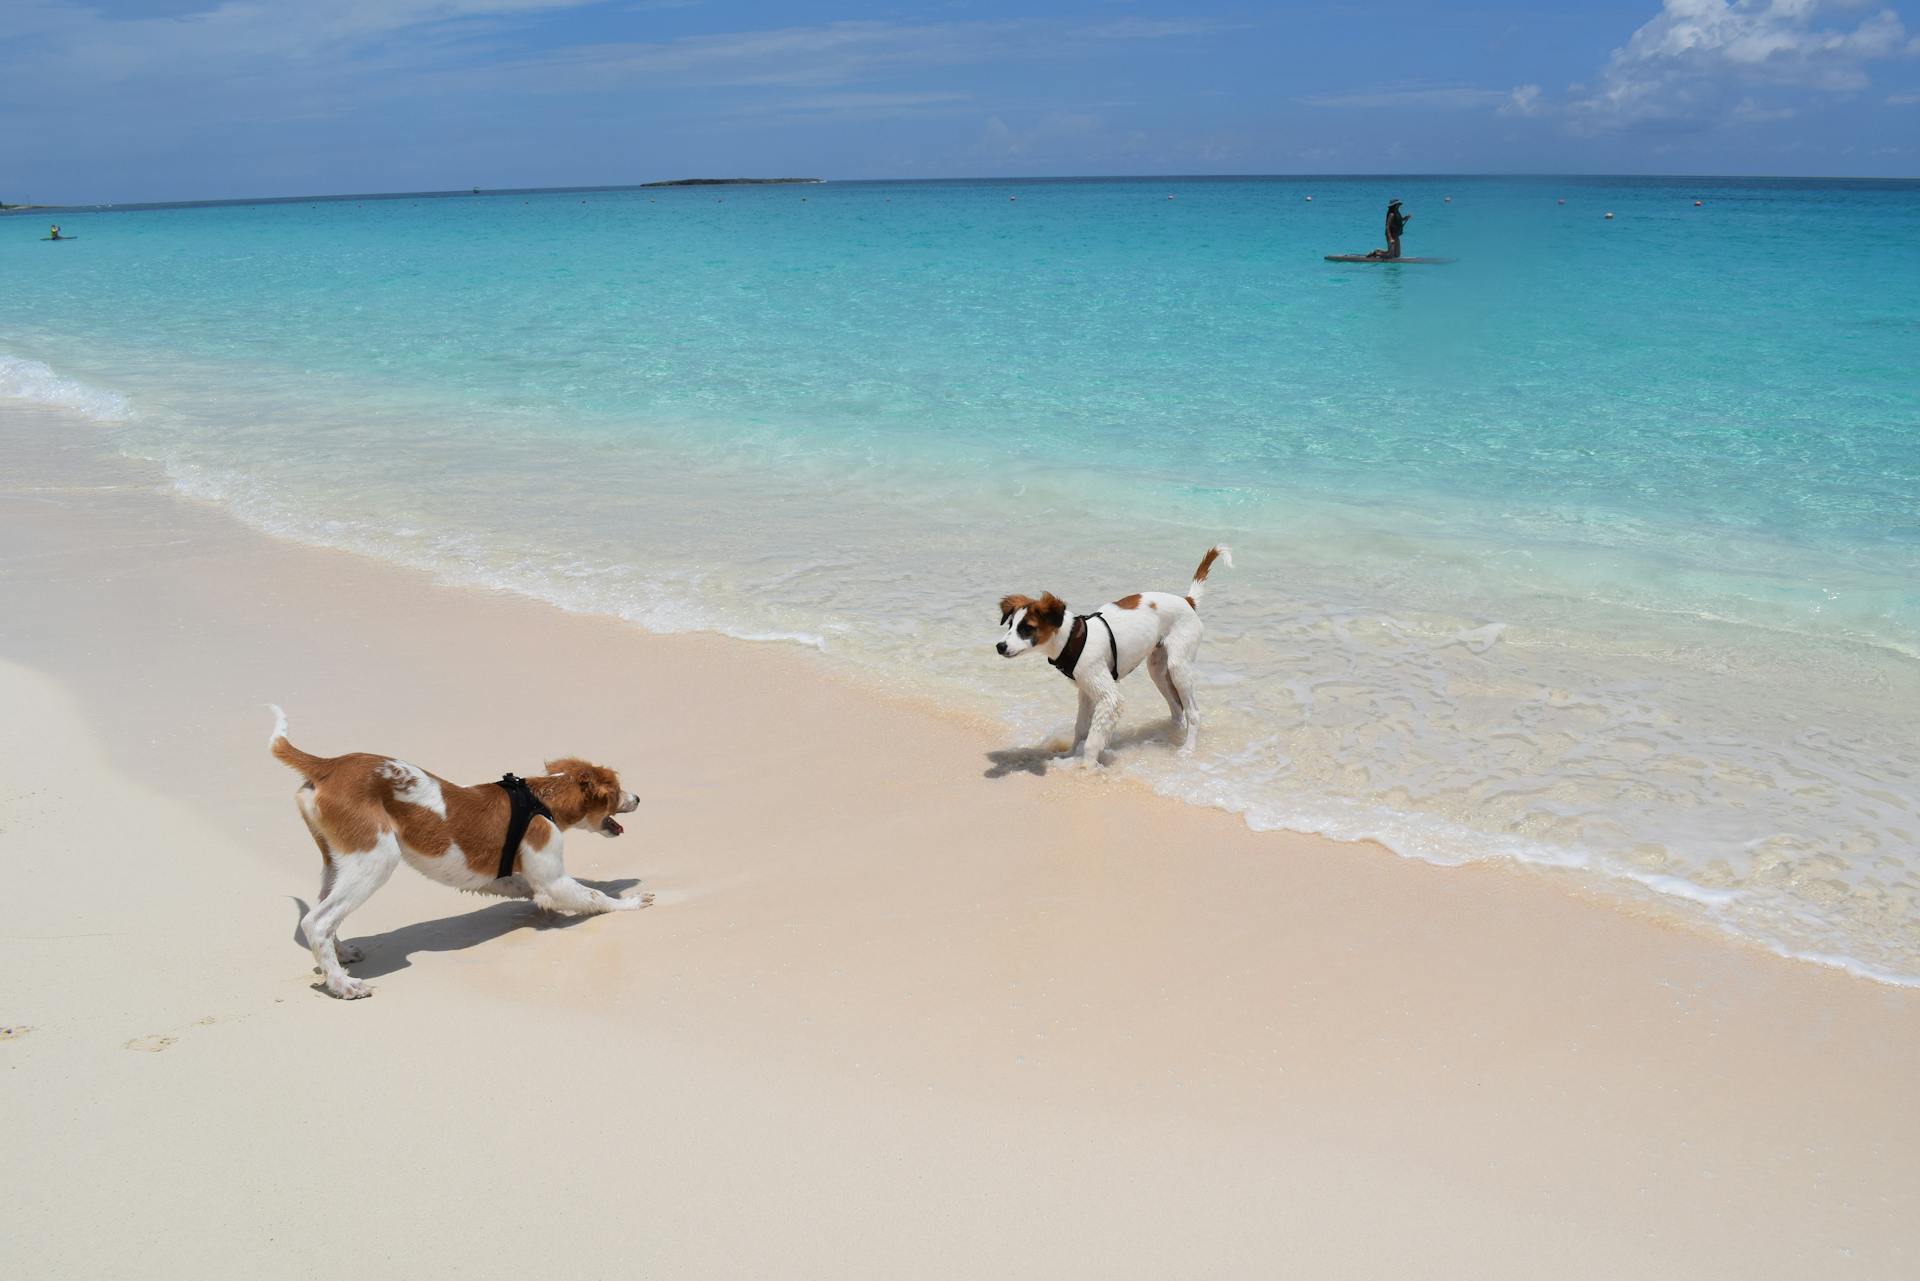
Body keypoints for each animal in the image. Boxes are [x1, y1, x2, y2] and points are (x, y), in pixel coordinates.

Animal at [264, 710, 652, 998]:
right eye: (617, 789)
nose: (637, 798)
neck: (542, 799)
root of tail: (327, 765)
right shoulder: (553, 872)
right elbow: (594, 896)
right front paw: (632, 902)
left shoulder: (502, 877)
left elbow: (528, 887)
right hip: (375, 858)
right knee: (316, 921)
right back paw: (342, 984)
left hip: (338, 861)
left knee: (323, 912)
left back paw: (341, 955)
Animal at [998, 545, 1236, 768]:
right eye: (1010, 625)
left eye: (1027, 628)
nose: (1000, 646)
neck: (1072, 638)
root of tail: (1188, 601)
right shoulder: (1086, 691)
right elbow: (1081, 729)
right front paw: (1070, 755)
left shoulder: (1109, 696)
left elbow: (1093, 739)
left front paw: (1086, 766)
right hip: (1157, 668)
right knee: (1177, 709)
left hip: (1178, 667)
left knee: (1193, 712)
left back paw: (1187, 749)